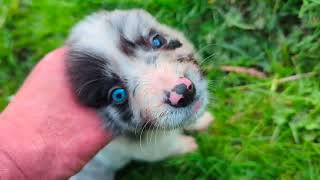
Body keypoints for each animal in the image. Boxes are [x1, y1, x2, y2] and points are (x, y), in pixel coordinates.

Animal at [66, 9, 214, 179]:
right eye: (118, 95)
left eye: (157, 41)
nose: (183, 92)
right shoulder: (145, 148)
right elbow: (169, 146)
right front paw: (188, 146)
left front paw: (202, 120)